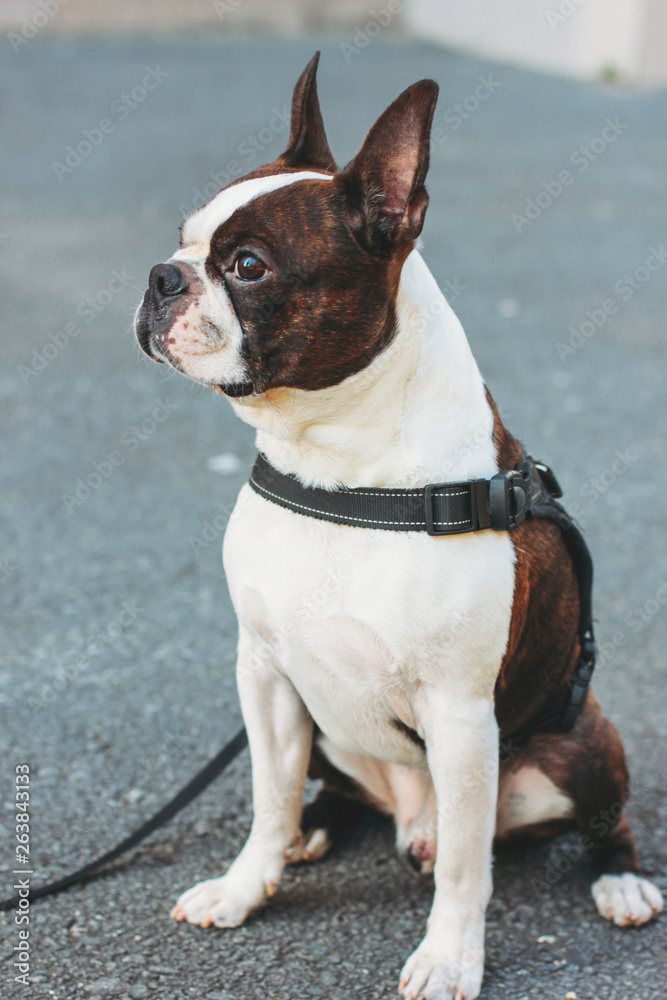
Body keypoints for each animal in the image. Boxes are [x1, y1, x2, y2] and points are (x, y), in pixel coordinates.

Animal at [136, 52, 664, 1000]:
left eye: (247, 265)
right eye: (184, 240)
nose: (163, 275)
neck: (337, 462)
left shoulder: (458, 714)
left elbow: (463, 864)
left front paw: (448, 957)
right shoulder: (264, 673)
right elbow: (266, 798)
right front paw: (245, 887)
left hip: (579, 739)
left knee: (588, 819)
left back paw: (621, 880)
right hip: (323, 732)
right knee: (328, 793)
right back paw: (314, 831)